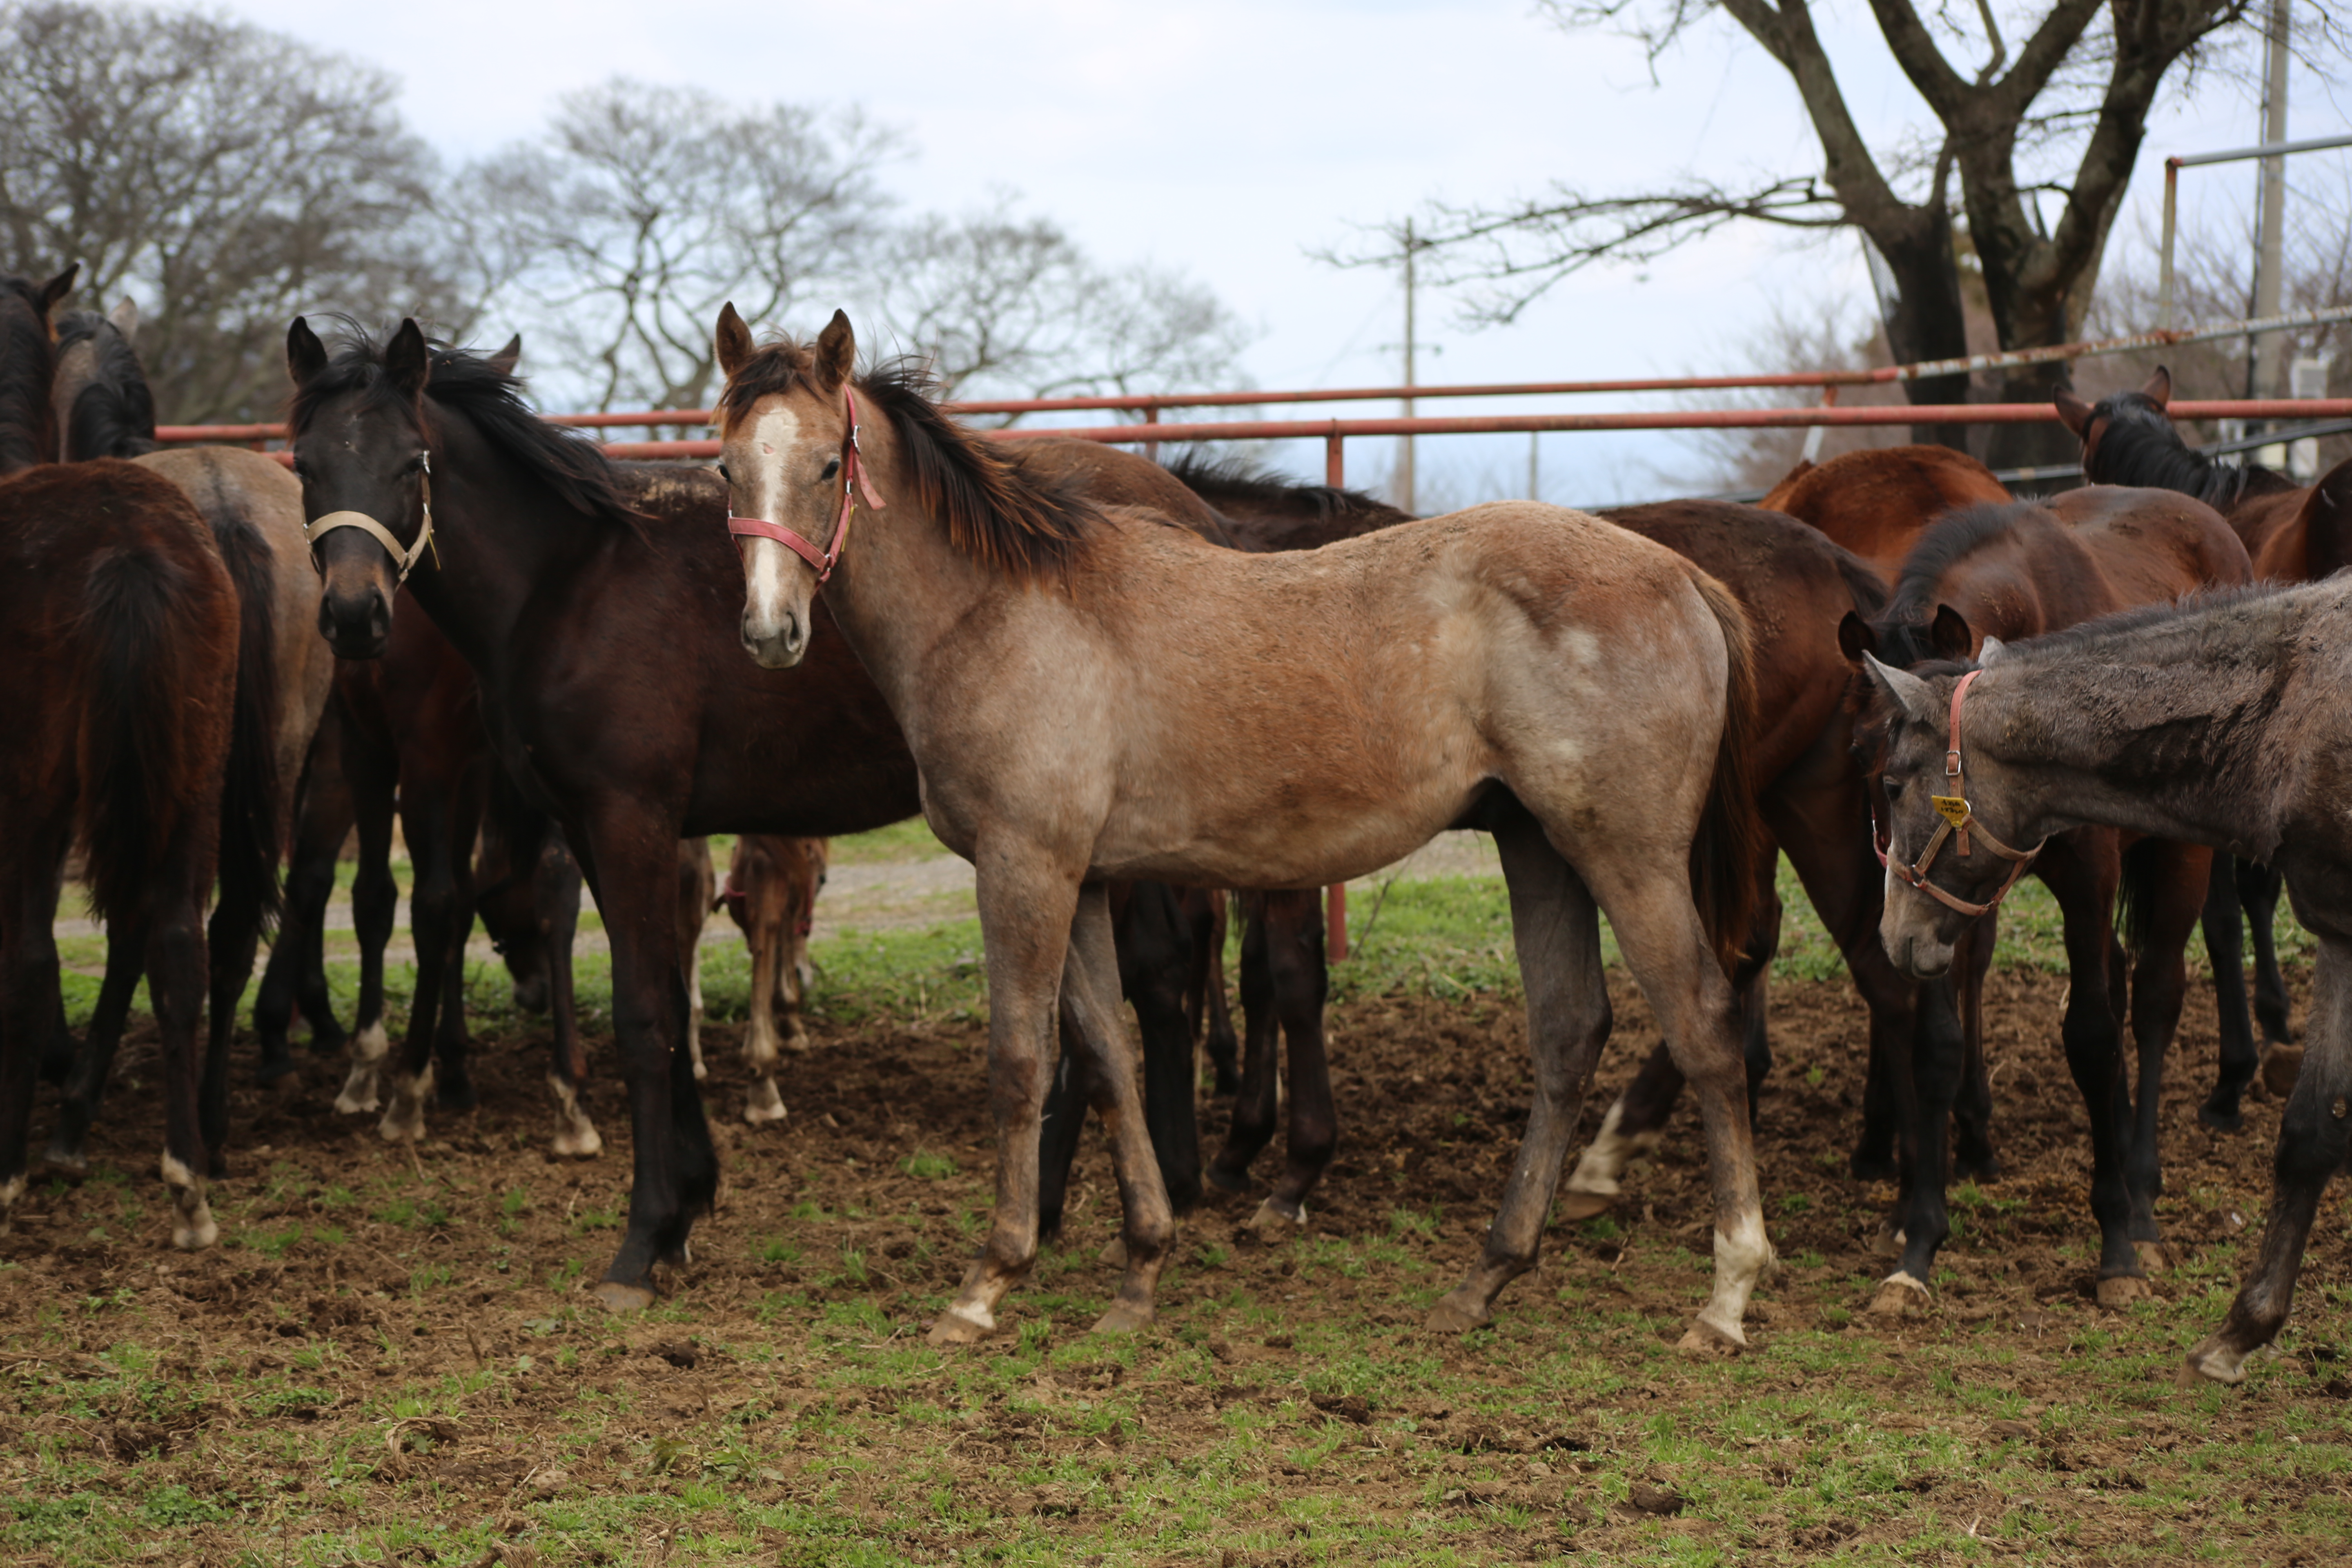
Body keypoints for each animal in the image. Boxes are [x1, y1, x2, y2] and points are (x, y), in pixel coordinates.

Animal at [706, 312, 1768, 1354]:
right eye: (725, 468)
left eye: (828, 466)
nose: (769, 632)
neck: (1001, 611)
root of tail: (1683, 578)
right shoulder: (1083, 880)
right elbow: (1107, 1059)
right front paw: (1140, 1266)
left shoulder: (1023, 869)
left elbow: (1019, 1062)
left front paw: (986, 1284)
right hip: (1537, 846)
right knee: (1566, 1033)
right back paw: (1486, 1276)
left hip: (1626, 859)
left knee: (1703, 1028)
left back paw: (1724, 1297)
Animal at [1844, 493, 2248, 1316]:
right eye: (1863, 760)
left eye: (1901, 778)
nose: (1893, 926)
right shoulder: (1954, 900)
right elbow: (1939, 1047)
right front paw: (1919, 1240)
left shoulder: (2089, 881)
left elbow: (2091, 1037)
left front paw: (2118, 1242)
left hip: (2182, 857)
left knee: (2154, 999)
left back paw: (2144, 1192)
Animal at [1862, 576, 2352, 1382]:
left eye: (1896, 785)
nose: (1894, 935)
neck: (2291, 704)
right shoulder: (2340, 930)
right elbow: (2310, 1133)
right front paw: (2243, 1330)